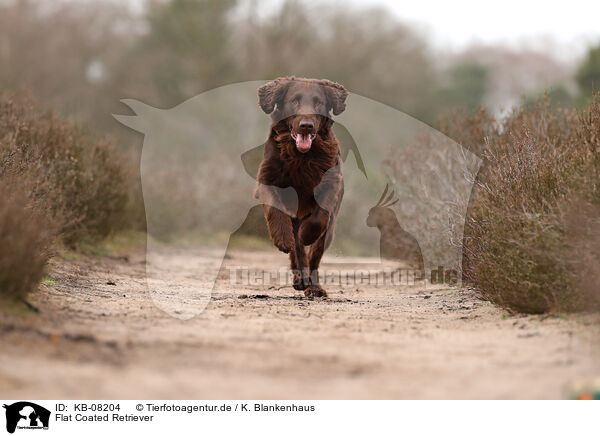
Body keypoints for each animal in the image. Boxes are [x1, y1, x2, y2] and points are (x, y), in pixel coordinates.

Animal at [253, 76, 346, 298]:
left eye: (319, 103)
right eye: (294, 100)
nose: (306, 125)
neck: (301, 157)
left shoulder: (332, 183)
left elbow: (320, 217)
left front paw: (308, 233)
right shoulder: (266, 180)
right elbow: (275, 210)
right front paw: (282, 239)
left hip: (329, 232)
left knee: (314, 255)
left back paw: (313, 286)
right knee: (298, 251)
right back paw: (300, 279)